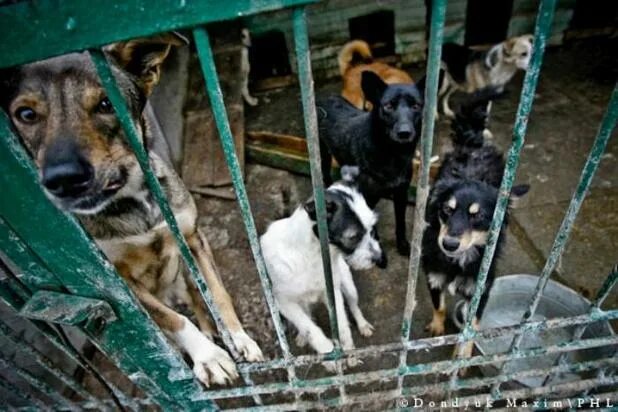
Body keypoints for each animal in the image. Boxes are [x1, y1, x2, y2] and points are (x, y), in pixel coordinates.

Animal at [0, 33, 262, 388]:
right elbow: (173, 319)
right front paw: (208, 357)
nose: (62, 179)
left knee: (196, 294)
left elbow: (219, 294)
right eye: (26, 114)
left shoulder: (193, 237)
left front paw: (239, 338)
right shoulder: (122, 284)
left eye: (106, 105)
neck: (134, 202)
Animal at [258, 166, 382, 366]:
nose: (379, 259)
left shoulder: (333, 292)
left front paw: (349, 352)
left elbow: (343, 326)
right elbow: (309, 328)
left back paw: (362, 325)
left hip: (348, 286)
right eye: (353, 237)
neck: (311, 255)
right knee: (307, 316)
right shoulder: (283, 302)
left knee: (354, 306)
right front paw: (328, 354)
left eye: (372, 229)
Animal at [318, 70, 424, 258]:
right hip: (323, 155)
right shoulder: (367, 198)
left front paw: (403, 245)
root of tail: (325, 97)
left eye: (416, 106)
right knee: (325, 174)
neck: (392, 154)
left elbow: (401, 223)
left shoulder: (401, 193)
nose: (404, 133)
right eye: (388, 106)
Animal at [422, 89, 528, 360]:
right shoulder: (433, 277)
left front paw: (462, 354)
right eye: (446, 210)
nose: (449, 244)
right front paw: (437, 326)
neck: (457, 261)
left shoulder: (481, 289)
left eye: (477, 217)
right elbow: (438, 306)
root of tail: (472, 143)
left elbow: (472, 326)